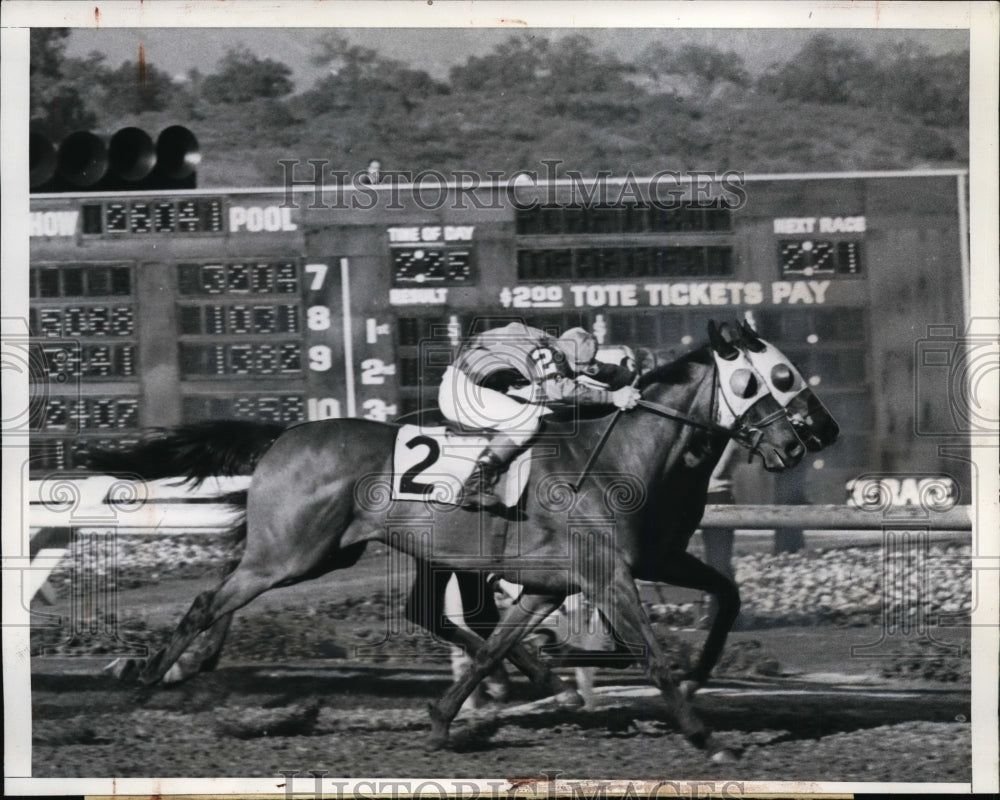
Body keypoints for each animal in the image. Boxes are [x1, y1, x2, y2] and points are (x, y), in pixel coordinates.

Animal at [95, 322, 828, 760]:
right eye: (770, 378)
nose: (809, 439)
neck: (623, 456)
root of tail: (284, 435)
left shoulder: (570, 578)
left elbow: (725, 596)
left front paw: (448, 717)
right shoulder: (608, 577)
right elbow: (651, 654)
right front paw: (705, 734)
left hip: (343, 552)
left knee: (407, 611)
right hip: (293, 554)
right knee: (210, 600)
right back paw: (150, 680)